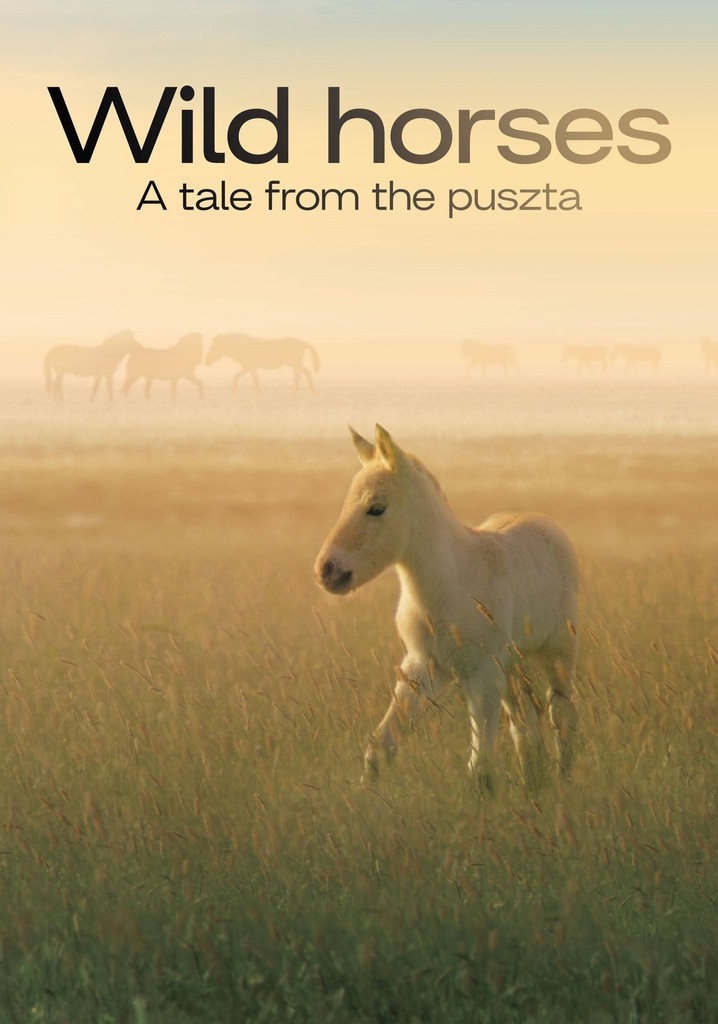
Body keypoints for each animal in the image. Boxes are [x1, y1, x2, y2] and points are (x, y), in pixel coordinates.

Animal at [315, 425, 579, 793]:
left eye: (376, 508)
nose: (327, 570)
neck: (448, 586)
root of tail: (545, 522)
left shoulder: (481, 673)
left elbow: (480, 765)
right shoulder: (422, 667)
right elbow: (381, 745)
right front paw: (363, 794)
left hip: (557, 652)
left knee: (561, 711)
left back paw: (562, 780)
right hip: (511, 665)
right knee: (524, 719)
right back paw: (533, 779)